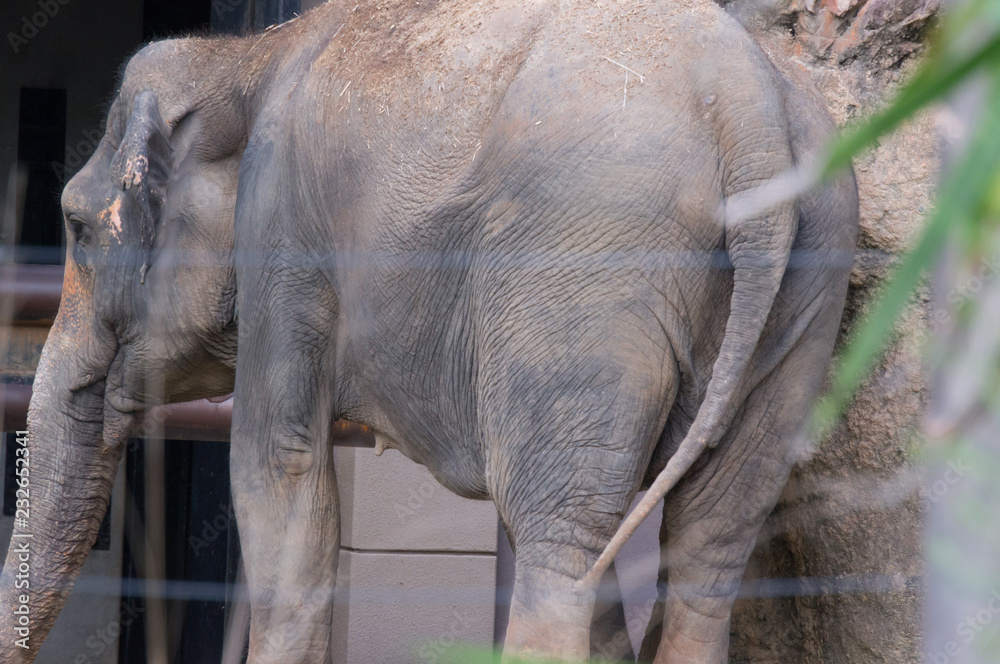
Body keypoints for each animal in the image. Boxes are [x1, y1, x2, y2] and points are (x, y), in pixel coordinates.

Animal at [0, 0, 858, 662]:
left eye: (74, 227)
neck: (246, 55)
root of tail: (746, 102)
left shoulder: (282, 233)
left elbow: (280, 474)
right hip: (805, 286)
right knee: (709, 538)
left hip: (586, 268)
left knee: (558, 539)